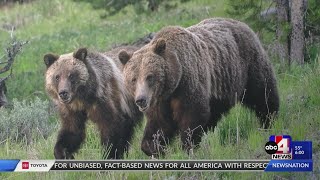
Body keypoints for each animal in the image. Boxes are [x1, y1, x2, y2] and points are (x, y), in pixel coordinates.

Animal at [119, 17, 278, 157]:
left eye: (150, 76)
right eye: (133, 79)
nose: (141, 100)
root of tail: (241, 23)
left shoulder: (188, 86)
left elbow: (192, 114)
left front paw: (187, 146)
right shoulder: (160, 101)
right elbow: (159, 124)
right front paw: (155, 148)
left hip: (249, 65)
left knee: (262, 93)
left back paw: (269, 121)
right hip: (219, 87)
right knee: (215, 112)